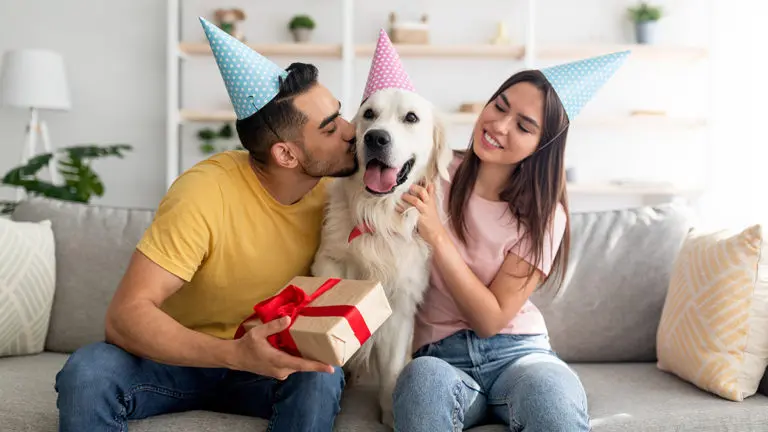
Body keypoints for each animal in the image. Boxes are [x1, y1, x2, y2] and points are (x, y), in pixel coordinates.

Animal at [312, 87, 452, 426]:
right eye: (369, 115)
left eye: (411, 118)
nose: (375, 138)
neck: (379, 215)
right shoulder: (330, 267)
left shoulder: (401, 308)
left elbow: (391, 371)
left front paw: (390, 416)